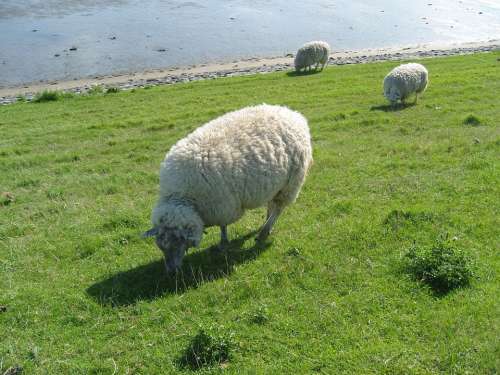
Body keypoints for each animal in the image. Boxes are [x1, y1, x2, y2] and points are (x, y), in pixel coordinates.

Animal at [142, 104, 312, 272]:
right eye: (161, 246)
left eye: (178, 241)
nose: (171, 272)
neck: (182, 196)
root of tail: (293, 114)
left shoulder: (222, 206)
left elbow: (223, 226)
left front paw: (223, 243)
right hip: (277, 185)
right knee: (272, 204)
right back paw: (265, 225)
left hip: (291, 183)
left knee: (279, 208)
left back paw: (264, 232)